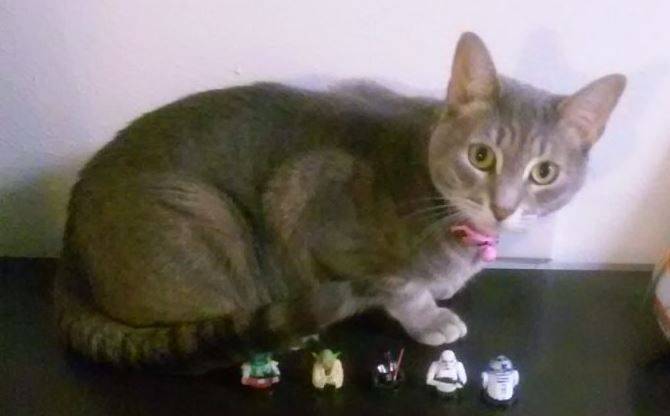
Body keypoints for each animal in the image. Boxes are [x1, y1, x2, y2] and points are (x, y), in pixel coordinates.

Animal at [54, 32, 625, 372]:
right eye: (481, 156)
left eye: (544, 173)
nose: (503, 207)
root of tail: (68, 258)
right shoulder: (309, 199)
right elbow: (400, 287)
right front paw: (430, 317)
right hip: (205, 217)